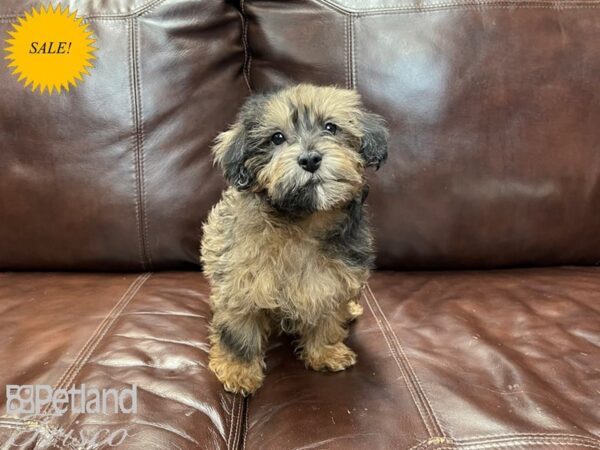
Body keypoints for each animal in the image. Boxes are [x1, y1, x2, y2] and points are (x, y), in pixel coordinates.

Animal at [202, 83, 390, 394]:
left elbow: (328, 315)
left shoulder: (332, 279)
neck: (303, 220)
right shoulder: (240, 280)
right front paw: (238, 370)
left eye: (331, 127)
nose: (310, 159)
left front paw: (325, 352)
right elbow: (239, 330)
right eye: (277, 138)